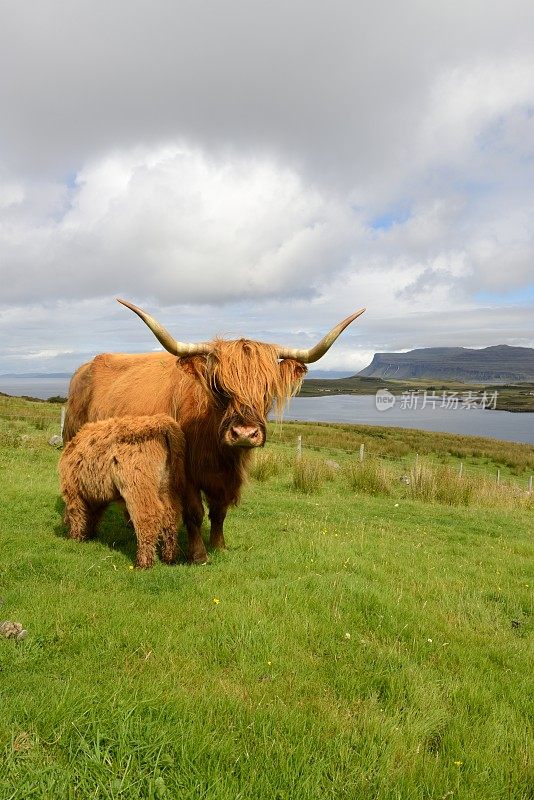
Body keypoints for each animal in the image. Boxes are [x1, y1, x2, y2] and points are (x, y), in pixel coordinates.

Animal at [59, 412, 186, 568]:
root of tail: (160, 422)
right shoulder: (98, 495)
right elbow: (93, 515)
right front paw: (89, 534)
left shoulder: (73, 492)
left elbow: (77, 514)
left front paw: (76, 537)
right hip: (167, 487)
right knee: (171, 517)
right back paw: (169, 557)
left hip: (138, 488)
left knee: (148, 517)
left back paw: (143, 563)